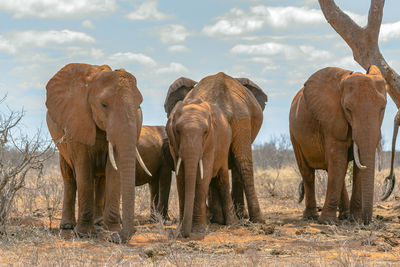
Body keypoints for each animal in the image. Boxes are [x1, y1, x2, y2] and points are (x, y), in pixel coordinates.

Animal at [45, 62, 151, 243]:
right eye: (104, 105)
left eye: (139, 106)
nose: (116, 238)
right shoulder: (77, 119)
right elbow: (83, 169)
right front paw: (84, 234)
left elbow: (114, 171)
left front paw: (112, 230)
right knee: (69, 176)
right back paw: (67, 226)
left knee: (101, 179)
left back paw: (100, 223)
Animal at [167, 98, 239, 237]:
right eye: (177, 131)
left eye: (205, 132)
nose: (185, 234)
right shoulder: (174, 145)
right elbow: (181, 178)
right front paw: (181, 229)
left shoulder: (211, 142)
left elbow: (202, 177)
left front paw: (198, 231)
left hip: (224, 149)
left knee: (222, 180)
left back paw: (232, 223)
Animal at [290, 66, 388, 225]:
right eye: (347, 109)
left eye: (383, 108)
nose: (366, 221)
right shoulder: (331, 120)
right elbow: (338, 158)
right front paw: (327, 222)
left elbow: (354, 165)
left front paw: (355, 219)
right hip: (294, 134)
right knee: (308, 172)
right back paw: (311, 217)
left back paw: (344, 216)